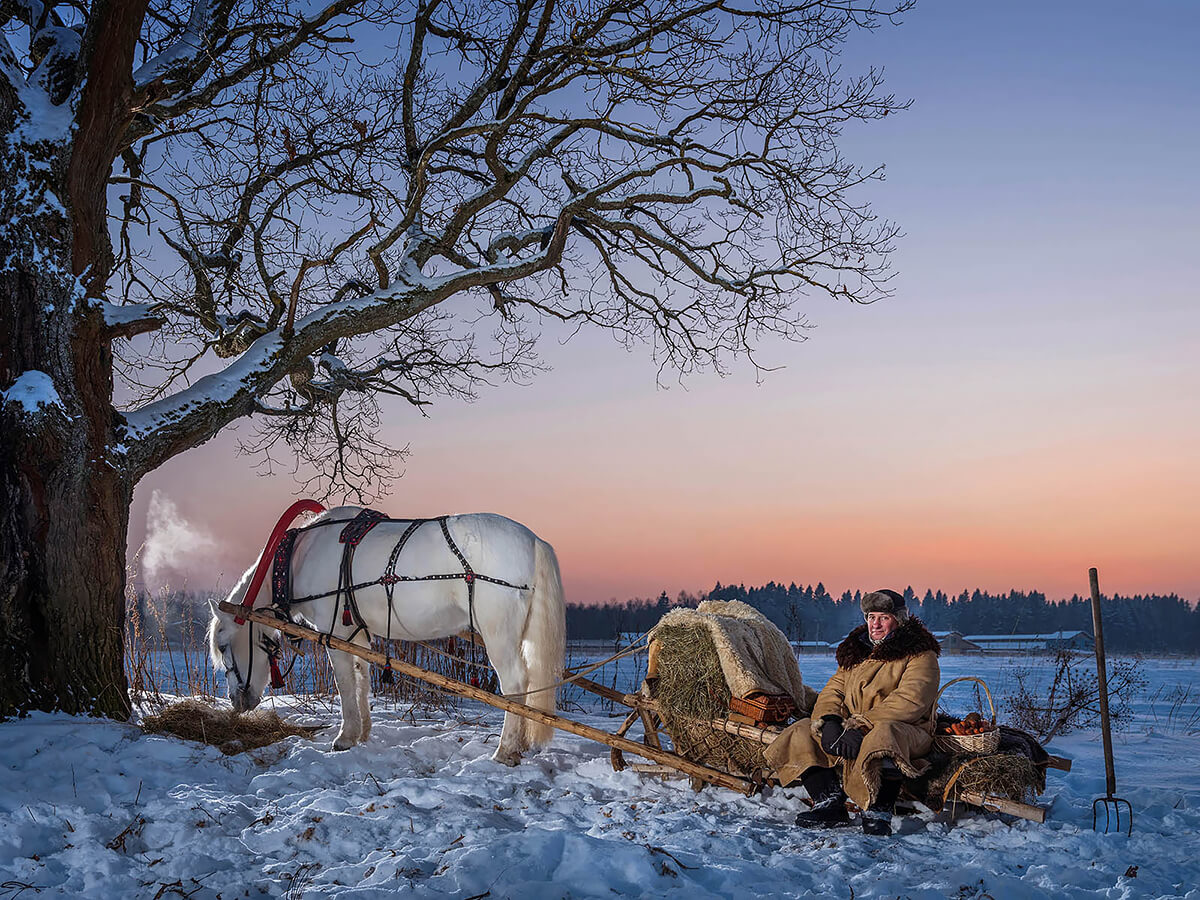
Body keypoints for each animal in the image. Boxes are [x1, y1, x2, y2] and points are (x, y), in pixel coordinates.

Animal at [210, 504, 566, 763]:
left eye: (224, 646)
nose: (236, 701)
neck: (298, 559)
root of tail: (533, 541)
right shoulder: (356, 632)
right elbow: (362, 678)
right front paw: (363, 732)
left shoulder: (333, 632)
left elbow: (344, 683)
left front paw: (345, 737)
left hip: (498, 633)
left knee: (516, 684)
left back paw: (506, 749)